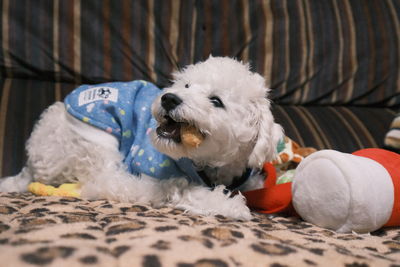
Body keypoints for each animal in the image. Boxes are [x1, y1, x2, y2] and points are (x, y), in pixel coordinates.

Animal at [0, 57, 282, 220]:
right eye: (186, 86)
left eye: (216, 101)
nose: (169, 98)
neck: (208, 166)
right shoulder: (150, 180)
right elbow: (180, 186)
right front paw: (228, 204)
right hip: (95, 144)